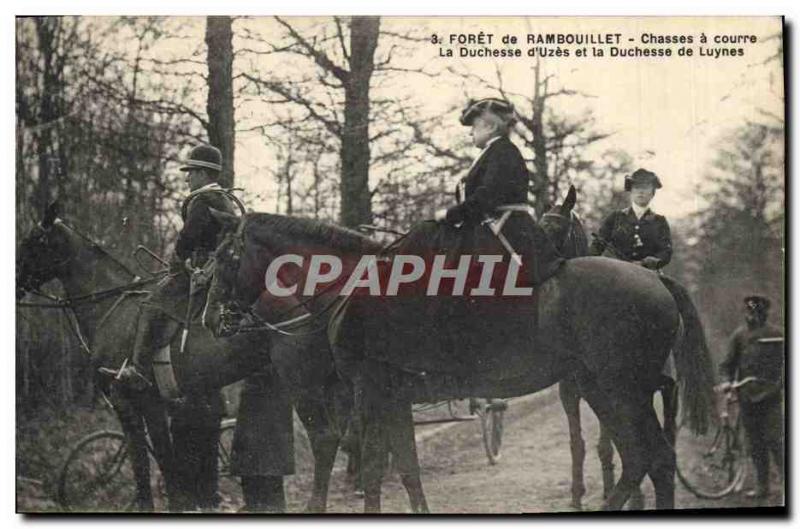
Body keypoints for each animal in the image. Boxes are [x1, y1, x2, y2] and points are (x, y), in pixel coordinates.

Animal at [15, 200, 352, 510]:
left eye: (31, 241)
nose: (16, 285)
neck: (111, 306)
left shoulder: (134, 402)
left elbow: (149, 462)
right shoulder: (157, 405)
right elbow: (163, 462)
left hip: (303, 384)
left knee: (324, 438)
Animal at [203, 207, 716, 512]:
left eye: (224, 256)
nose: (211, 318)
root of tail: (653, 279)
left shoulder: (370, 394)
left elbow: (373, 465)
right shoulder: (391, 398)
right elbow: (406, 468)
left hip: (621, 390)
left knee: (653, 457)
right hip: (600, 388)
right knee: (644, 459)